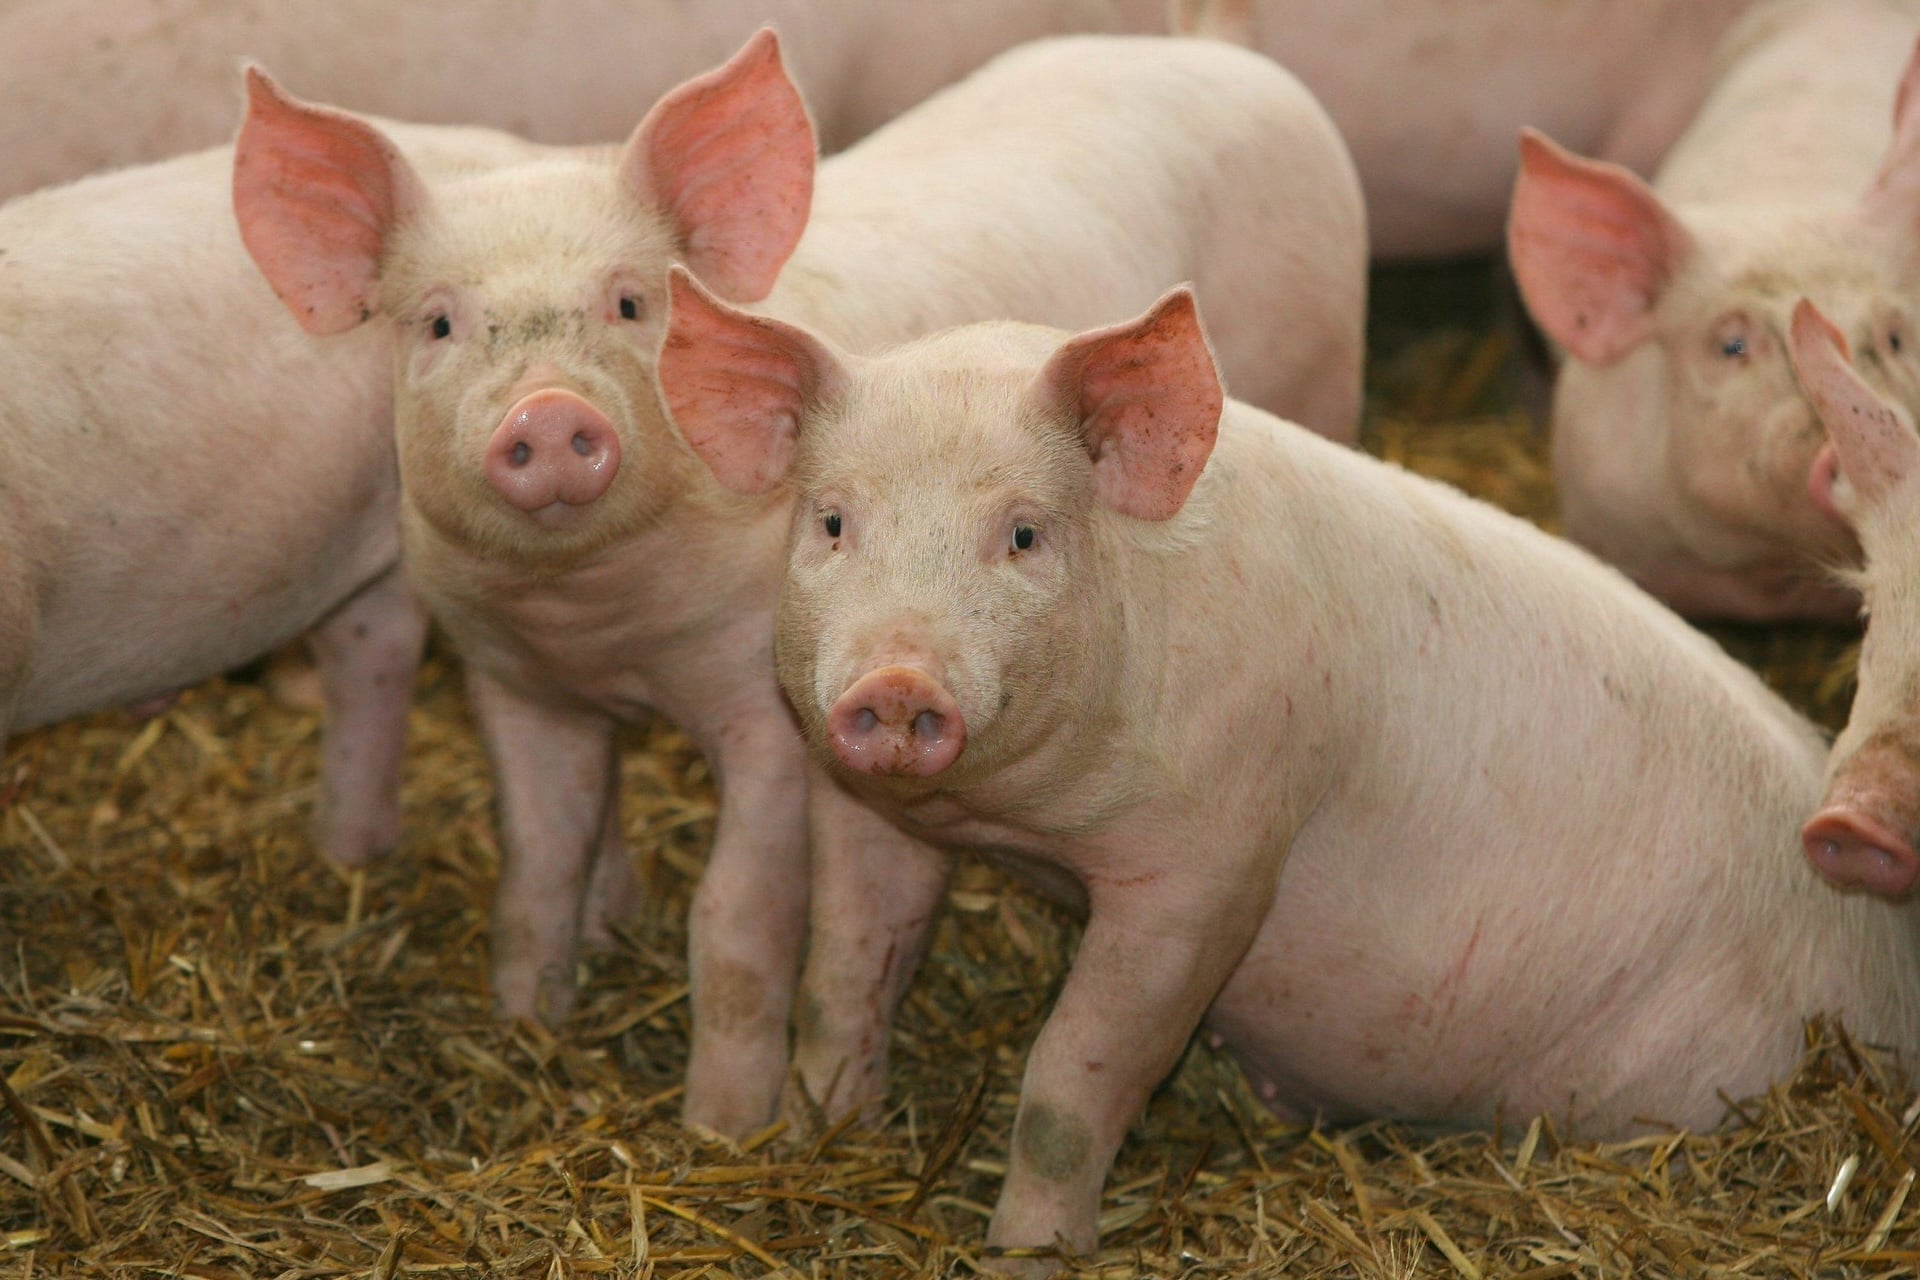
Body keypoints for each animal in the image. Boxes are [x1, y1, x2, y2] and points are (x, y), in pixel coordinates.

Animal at [231, 29, 1365, 1137]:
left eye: (631, 301)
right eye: (436, 324)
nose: (549, 413)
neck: (601, 622)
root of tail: (1214, 48)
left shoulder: (770, 709)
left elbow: (735, 917)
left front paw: (724, 1132)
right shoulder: (515, 684)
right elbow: (536, 867)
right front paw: (526, 1029)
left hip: (1322, 369)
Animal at [658, 271, 1920, 1267]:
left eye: (1023, 533)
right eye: (831, 521)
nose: (895, 681)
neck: (1024, 824)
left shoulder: (1215, 859)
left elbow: (1072, 1079)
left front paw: (1025, 1252)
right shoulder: (873, 810)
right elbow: (844, 977)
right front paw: (818, 1134)